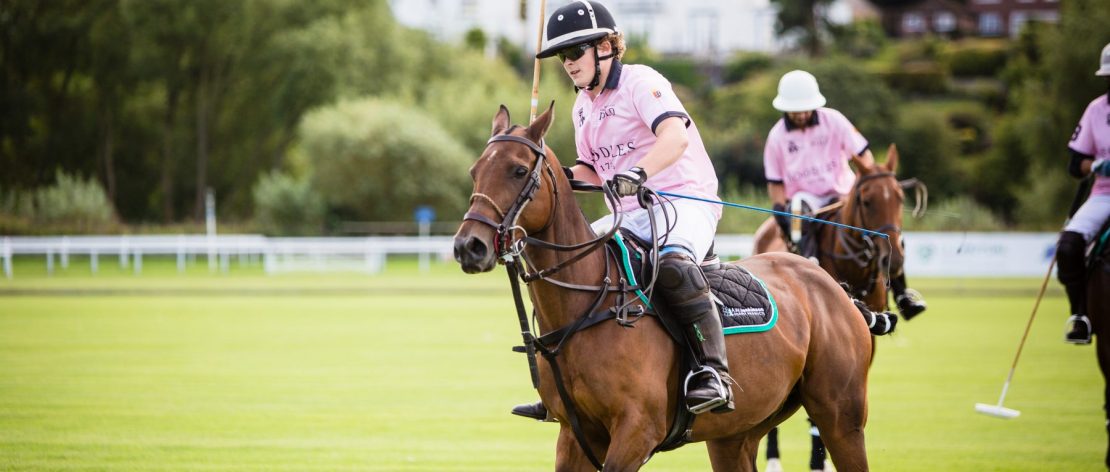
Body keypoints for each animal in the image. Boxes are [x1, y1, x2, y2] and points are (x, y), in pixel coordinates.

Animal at [450, 104, 874, 468]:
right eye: (474, 171)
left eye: (519, 171)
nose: (469, 246)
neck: (588, 304)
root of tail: (837, 290)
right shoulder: (575, 435)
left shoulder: (637, 431)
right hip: (737, 435)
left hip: (841, 419)